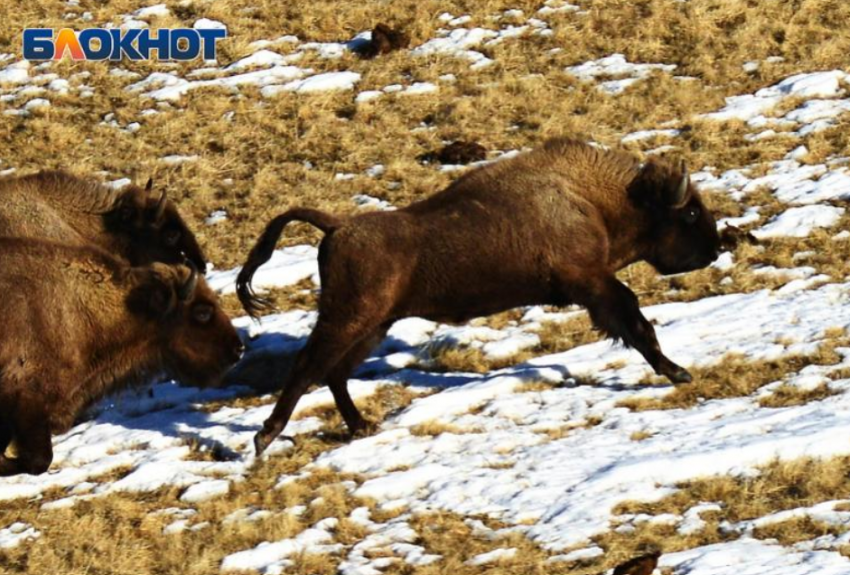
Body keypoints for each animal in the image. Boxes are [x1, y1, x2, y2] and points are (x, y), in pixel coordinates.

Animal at [235, 137, 720, 456]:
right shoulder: (593, 283)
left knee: (335, 373)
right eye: (690, 213)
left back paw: (360, 427)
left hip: (374, 325)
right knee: (308, 366)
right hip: (347, 317)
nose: (717, 248)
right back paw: (265, 437)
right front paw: (679, 373)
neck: (593, 200)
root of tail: (337, 225)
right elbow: (636, 324)